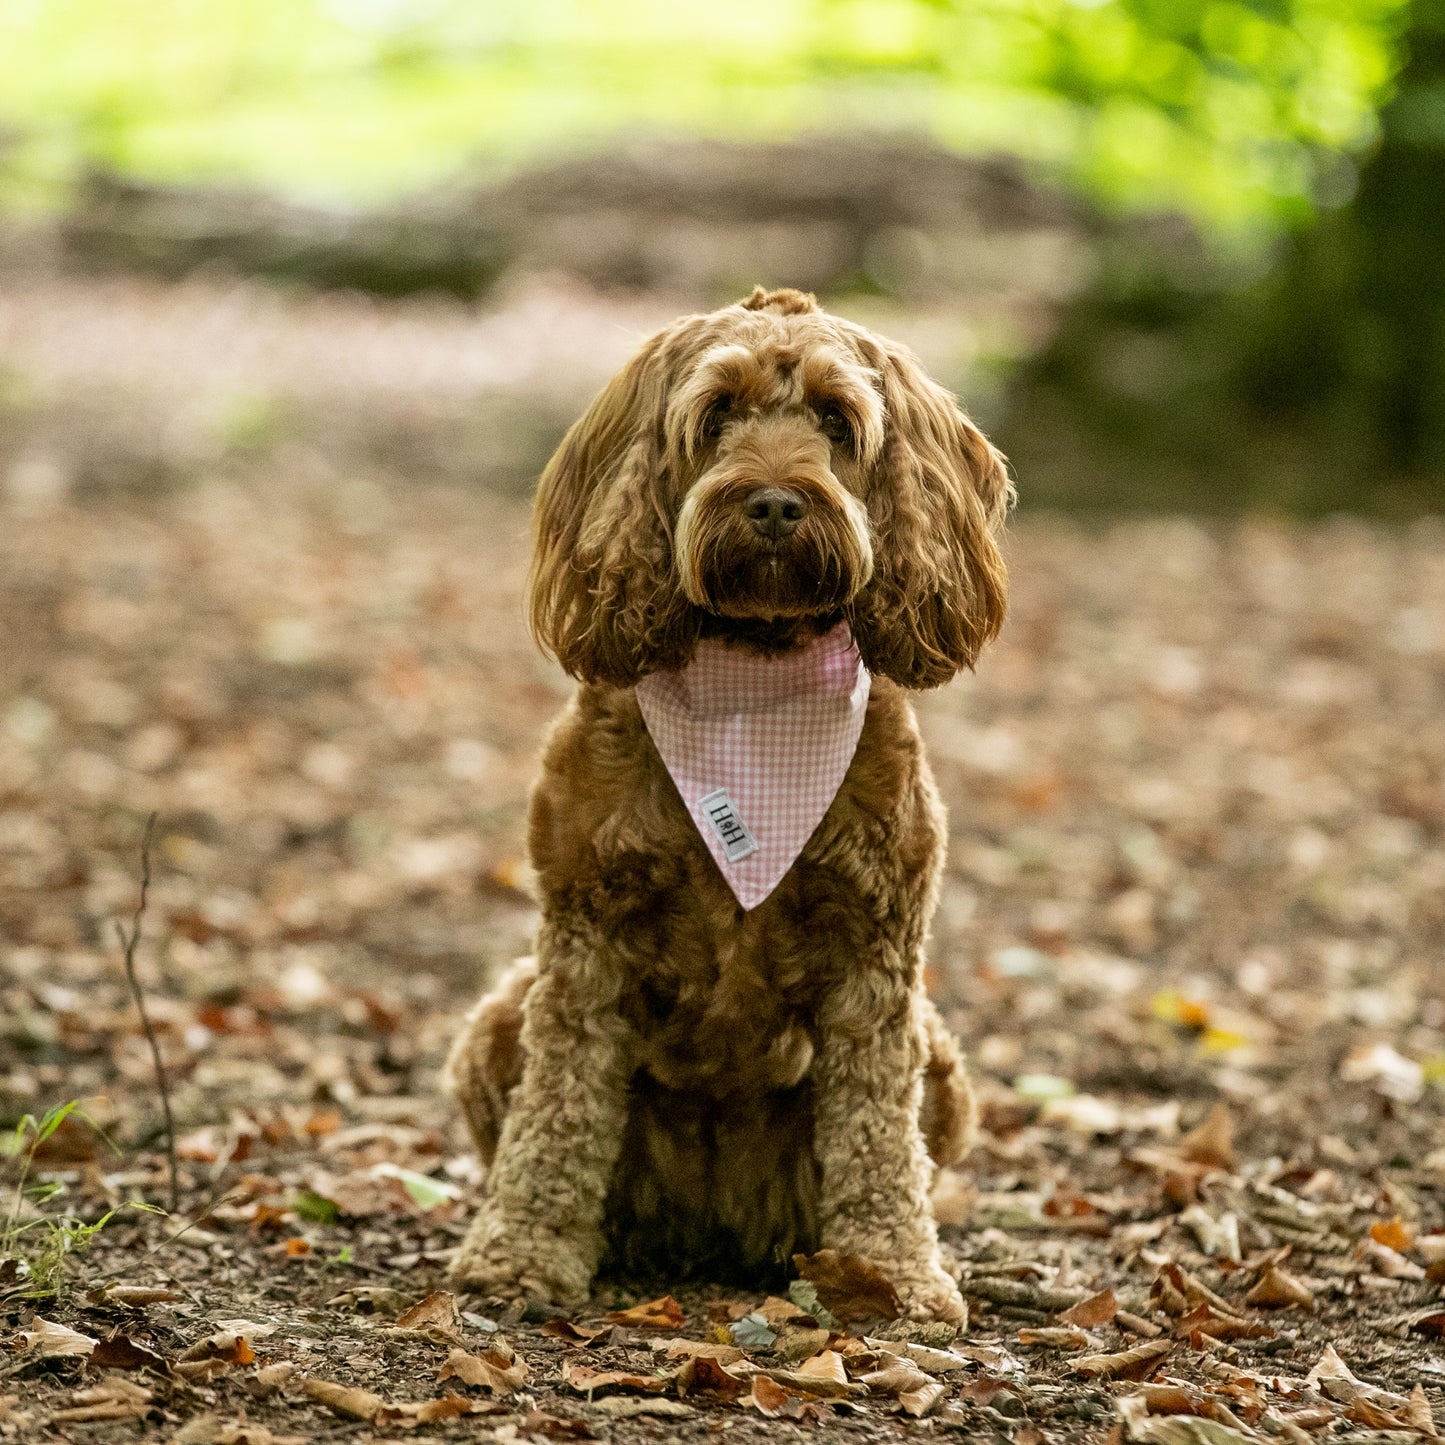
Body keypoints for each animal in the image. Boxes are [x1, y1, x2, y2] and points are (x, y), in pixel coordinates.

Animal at [445, 281, 1011, 1323]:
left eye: (835, 419)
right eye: (715, 416)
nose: (776, 501)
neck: (753, 674)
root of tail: (710, 1222)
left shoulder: (877, 956)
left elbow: (877, 1136)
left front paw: (897, 1273)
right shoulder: (584, 938)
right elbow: (558, 1111)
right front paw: (520, 1253)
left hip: (942, 1065)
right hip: (501, 1016)